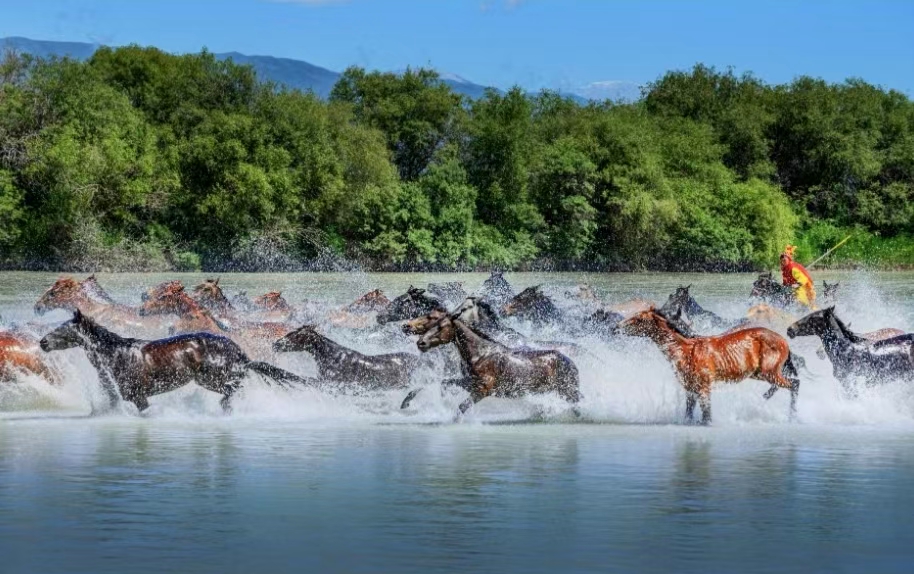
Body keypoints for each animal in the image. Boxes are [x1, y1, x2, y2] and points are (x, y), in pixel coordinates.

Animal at [39, 310, 314, 413]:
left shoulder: (139, 397)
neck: (116, 355)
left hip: (210, 379)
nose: (42, 342)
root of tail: (241, 354)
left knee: (233, 389)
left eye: (63, 329)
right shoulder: (116, 398)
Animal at [414, 313, 581, 417]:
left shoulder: (482, 390)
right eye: (431, 325)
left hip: (569, 391)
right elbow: (445, 383)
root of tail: (571, 362)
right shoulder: (470, 383)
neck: (481, 355)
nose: (421, 343)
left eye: (441, 327)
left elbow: (461, 407)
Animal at [616, 309, 800, 424]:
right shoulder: (690, 388)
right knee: (785, 385)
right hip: (759, 373)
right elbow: (689, 414)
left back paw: (792, 416)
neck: (686, 351)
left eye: (639, 319)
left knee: (794, 384)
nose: (616, 328)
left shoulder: (704, 387)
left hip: (768, 372)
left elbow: (707, 416)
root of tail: (784, 341)